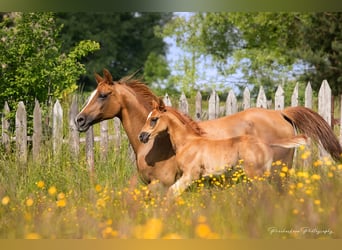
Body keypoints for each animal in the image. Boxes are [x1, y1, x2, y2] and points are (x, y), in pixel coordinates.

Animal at [138, 99, 308, 197]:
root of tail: (266, 143)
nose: (142, 136)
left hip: (257, 175)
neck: (188, 142)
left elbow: (171, 193)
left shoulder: (190, 175)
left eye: (154, 119)